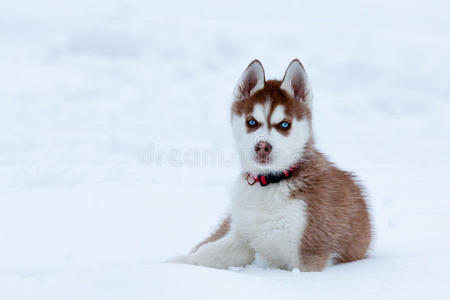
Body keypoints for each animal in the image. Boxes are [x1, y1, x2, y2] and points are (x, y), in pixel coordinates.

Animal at [171, 59, 370, 272]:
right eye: (251, 122)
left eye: (284, 124)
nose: (262, 147)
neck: (271, 181)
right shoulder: (243, 237)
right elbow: (207, 252)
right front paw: (174, 264)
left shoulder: (310, 251)